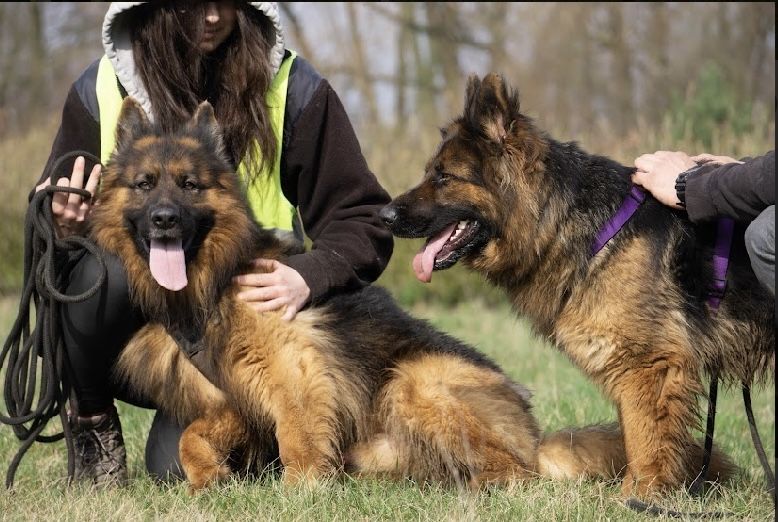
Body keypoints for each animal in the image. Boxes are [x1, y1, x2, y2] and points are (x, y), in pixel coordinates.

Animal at [88, 95, 684, 490]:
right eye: (145, 184)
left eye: (190, 185)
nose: (164, 220)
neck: (218, 275)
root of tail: (535, 439)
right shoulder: (234, 392)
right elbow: (192, 438)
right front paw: (208, 477)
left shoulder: (298, 376)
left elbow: (298, 444)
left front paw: (298, 494)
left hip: (412, 381)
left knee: (516, 473)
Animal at [378, 73, 768, 496]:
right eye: (430, 172)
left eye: (444, 176)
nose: (383, 214)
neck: (564, 221)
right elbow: (634, 435)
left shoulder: (648, 363)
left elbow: (645, 439)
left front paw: (640, 496)